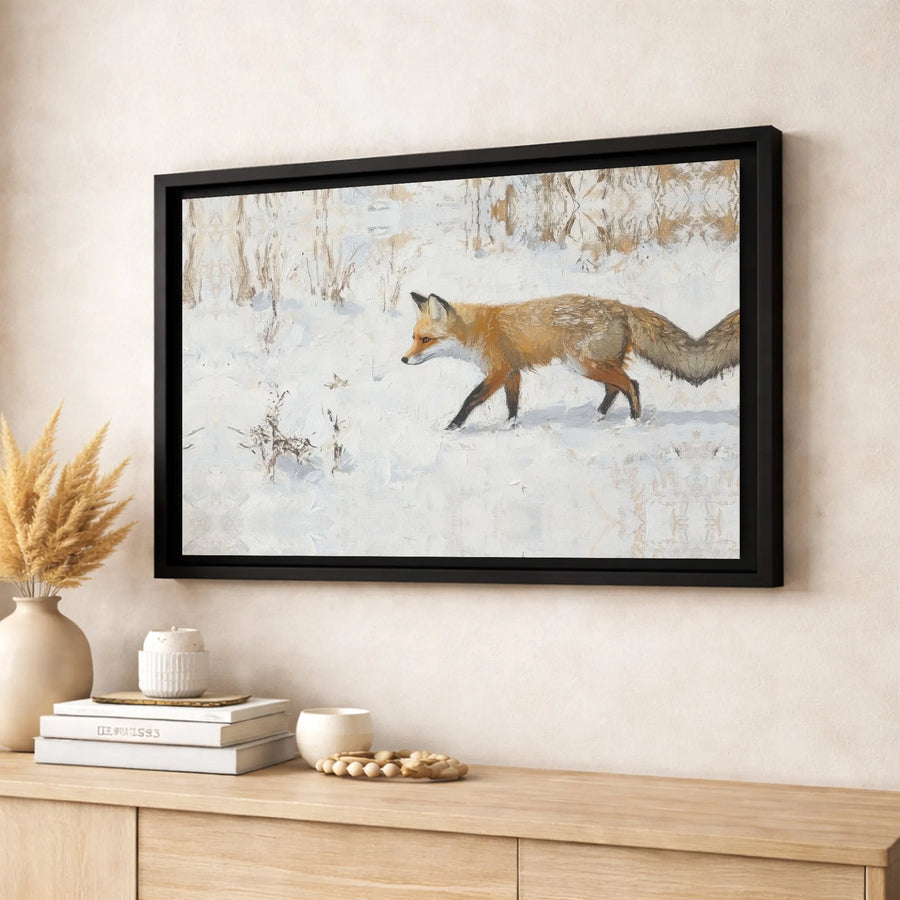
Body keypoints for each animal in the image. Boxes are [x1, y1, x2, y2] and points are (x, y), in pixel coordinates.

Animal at [401, 291, 740, 430]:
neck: (481, 329)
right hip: (594, 364)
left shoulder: (498, 370)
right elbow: (513, 403)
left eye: (425, 340)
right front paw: (512, 426)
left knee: (631, 383)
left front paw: (453, 427)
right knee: (616, 387)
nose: (403, 359)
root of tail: (621, 306)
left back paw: (633, 420)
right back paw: (600, 416)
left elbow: (471, 399)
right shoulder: (512, 372)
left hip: (584, 364)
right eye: (414, 337)